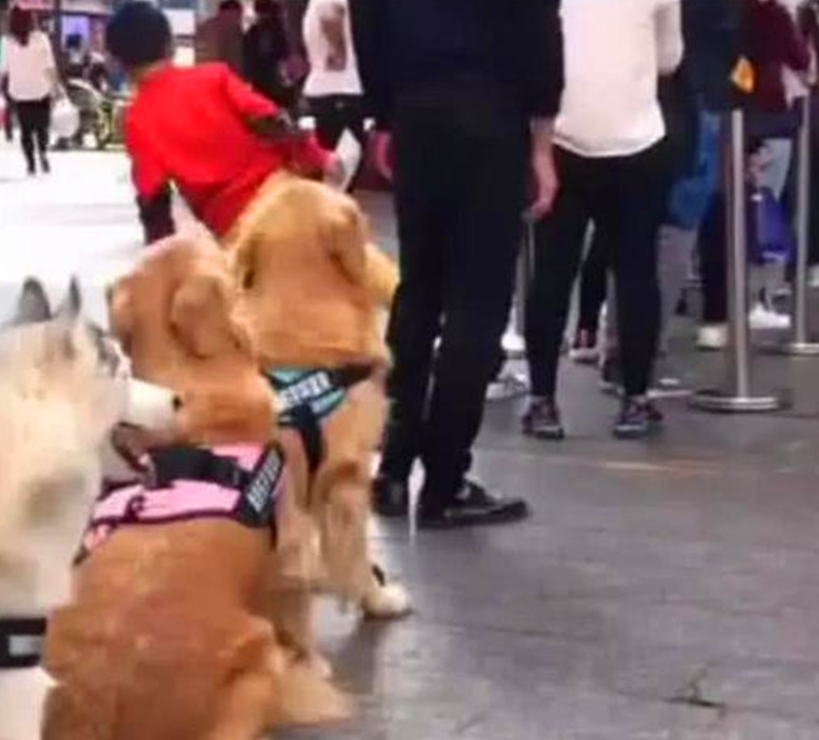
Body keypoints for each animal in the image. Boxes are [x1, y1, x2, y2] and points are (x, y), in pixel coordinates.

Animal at [41, 238, 346, 740]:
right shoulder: (290, 545)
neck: (188, 375)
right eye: (219, 255)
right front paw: (315, 663)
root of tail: (96, 706)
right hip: (256, 658)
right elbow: (298, 614)